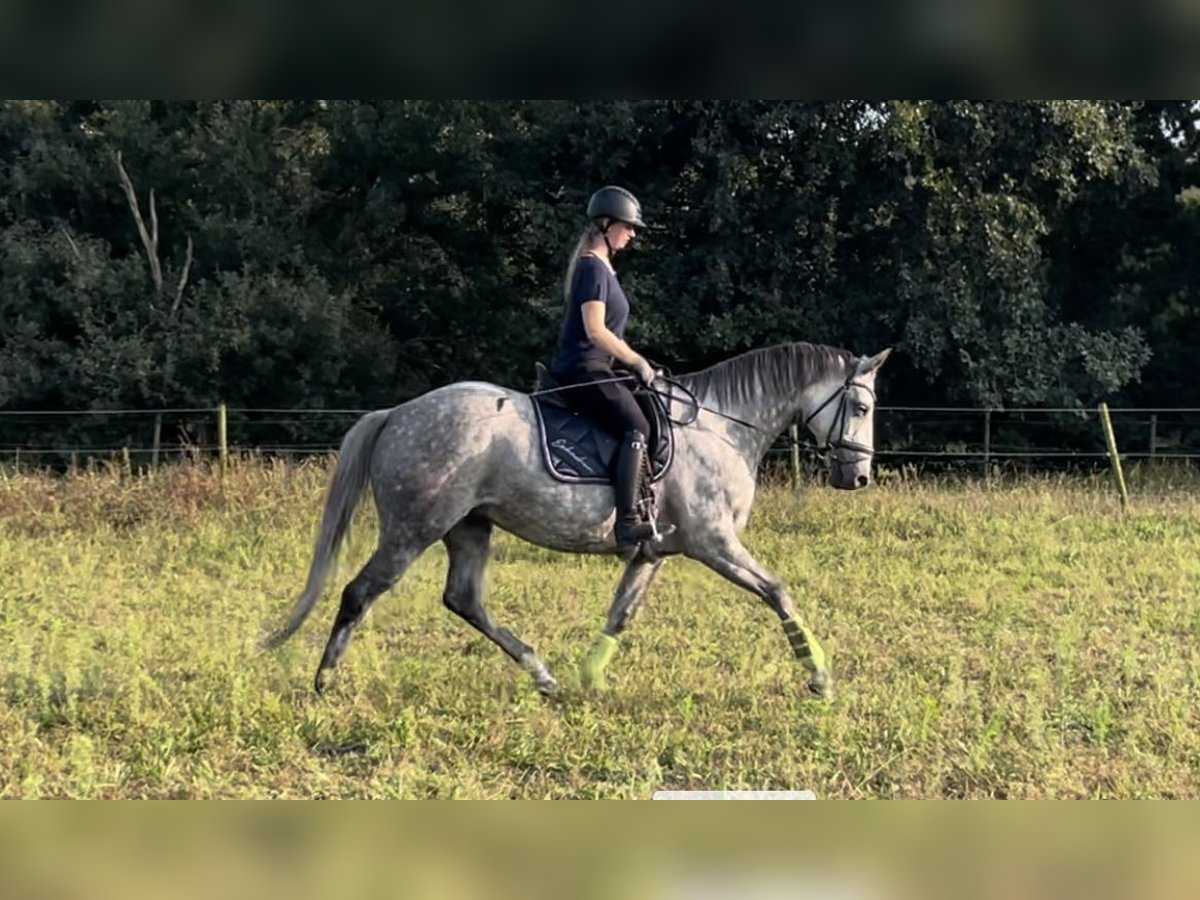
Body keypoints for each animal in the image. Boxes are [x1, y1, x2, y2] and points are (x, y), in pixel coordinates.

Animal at [265, 340, 892, 700]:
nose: (858, 477)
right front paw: (819, 676)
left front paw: (592, 678)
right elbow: (778, 591)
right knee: (359, 592)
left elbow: (621, 613)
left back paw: (544, 677)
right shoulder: (714, 543)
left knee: (464, 599)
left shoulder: (654, 551)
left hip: (469, 527)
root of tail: (397, 413)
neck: (720, 426)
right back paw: (324, 683)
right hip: (412, 529)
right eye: (861, 406)